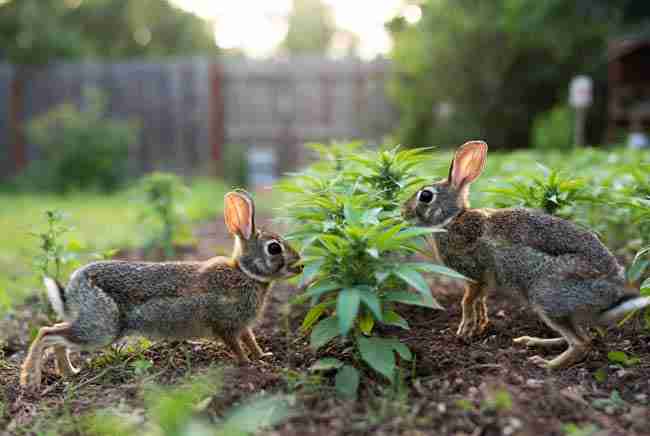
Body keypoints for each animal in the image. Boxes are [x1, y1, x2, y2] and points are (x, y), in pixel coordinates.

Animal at [20, 190, 303, 389]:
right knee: (47, 333)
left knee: (57, 335)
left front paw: (262, 355)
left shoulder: (242, 326)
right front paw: (246, 364)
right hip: (101, 329)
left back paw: (69, 373)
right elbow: (236, 346)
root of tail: (73, 289)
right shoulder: (225, 324)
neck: (245, 273)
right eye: (274, 248)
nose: (299, 264)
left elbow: (250, 340)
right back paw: (29, 379)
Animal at [403, 140, 650, 369]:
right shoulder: (485, 282)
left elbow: (467, 301)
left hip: (546, 296)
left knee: (582, 343)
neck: (452, 220)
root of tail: (612, 296)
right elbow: (480, 301)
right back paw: (533, 341)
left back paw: (545, 364)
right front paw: (480, 325)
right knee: (578, 336)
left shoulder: (475, 274)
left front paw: (464, 330)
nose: (403, 212)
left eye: (425, 196)